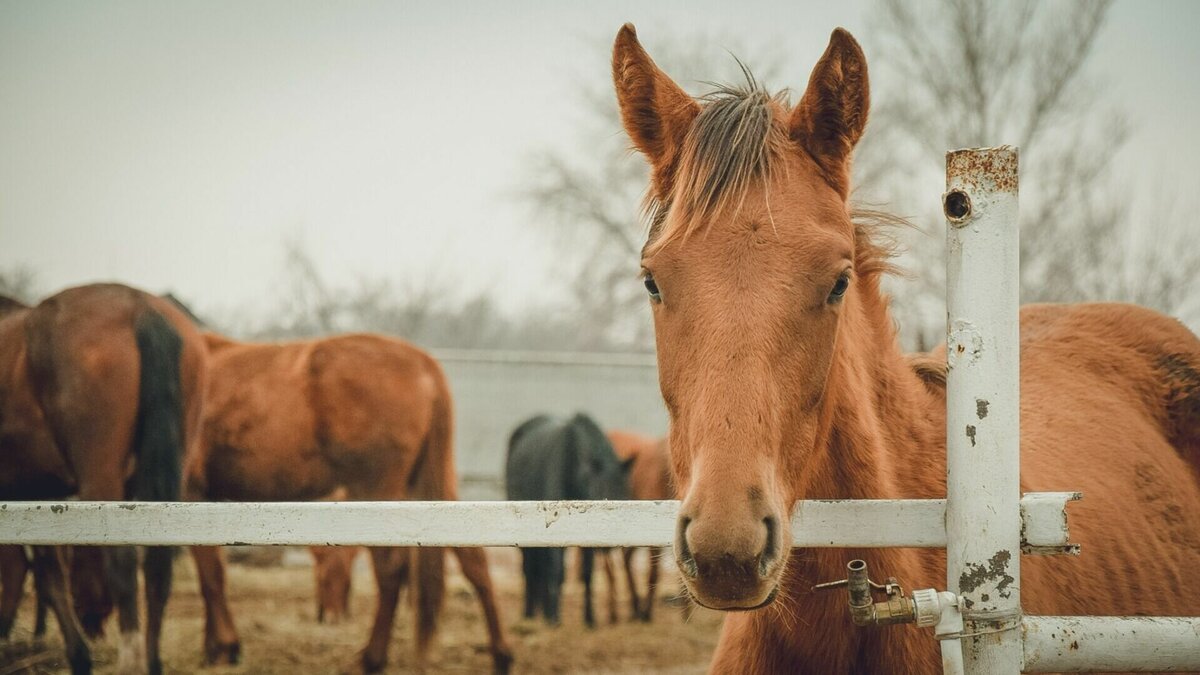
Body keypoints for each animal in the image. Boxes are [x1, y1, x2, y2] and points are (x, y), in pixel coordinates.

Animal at [0, 282, 205, 672]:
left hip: (101, 476)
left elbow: (42, 574)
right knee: (156, 567)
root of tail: (138, 307)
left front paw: (79, 657)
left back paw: (130, 662)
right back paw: (151, 661)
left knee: (122, 561)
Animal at [186, 331, 511, 672]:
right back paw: (501, 655)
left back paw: (372, 658)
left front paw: (223, 646)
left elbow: (210, 575)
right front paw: (214, 646)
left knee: (391, 568)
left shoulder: (191, 491)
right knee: (474, 560)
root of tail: (423, 363)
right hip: (433, 489)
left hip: (376, 490)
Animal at [504, 410, 633, 624]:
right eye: (598, 491)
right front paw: (555, 618)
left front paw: (590, 619)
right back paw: (530, 613)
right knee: (530, 567)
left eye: (624, 492)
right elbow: (557, 571)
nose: (608, 545)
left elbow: (587, 573)